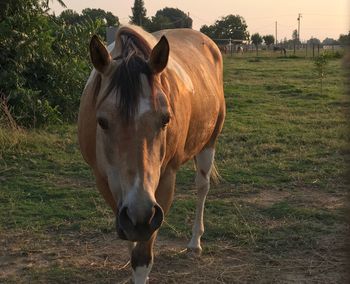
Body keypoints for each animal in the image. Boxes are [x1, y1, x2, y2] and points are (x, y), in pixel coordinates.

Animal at [77, 25, 226, 282]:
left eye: (165, 119)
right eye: (102, 121)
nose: (140, 214)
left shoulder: (164, 183)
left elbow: (142, 256)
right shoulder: (105, 183)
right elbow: (130, 238)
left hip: (209, 143)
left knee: (202, 187)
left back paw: (195, 242)